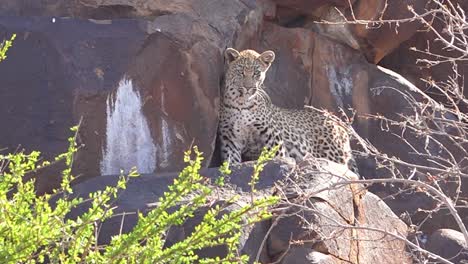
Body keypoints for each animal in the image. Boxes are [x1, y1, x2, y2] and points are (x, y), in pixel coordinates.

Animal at [218, 48, 358, 175]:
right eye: (240, 72)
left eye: (256, 73)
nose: (248, 87)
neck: (241, 103)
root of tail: (337, 122)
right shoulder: (229, 137)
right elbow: (231, 160)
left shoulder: (272, 134)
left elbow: (277, 155)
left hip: (332, 152)